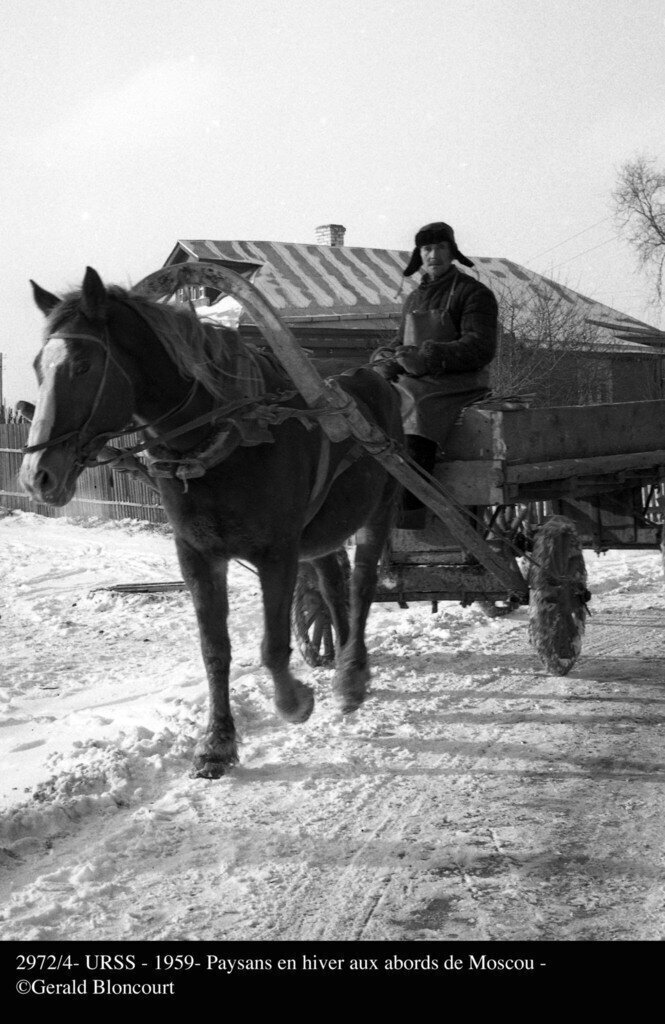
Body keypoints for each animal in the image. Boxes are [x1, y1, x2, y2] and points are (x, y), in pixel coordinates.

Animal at [20, 266, 401, 774]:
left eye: (82, 366)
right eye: (38, 367)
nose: (37, 475)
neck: (223, 440)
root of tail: (374, 377)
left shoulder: (277, 553)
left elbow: (273, 645)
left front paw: (294, 702)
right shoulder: (197, 556)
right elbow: (214, 650)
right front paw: (218, 742)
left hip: (380, 510)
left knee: (361, 585)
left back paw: (353, 675)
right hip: (321, 532)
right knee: (332, 586)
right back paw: (341, 666)